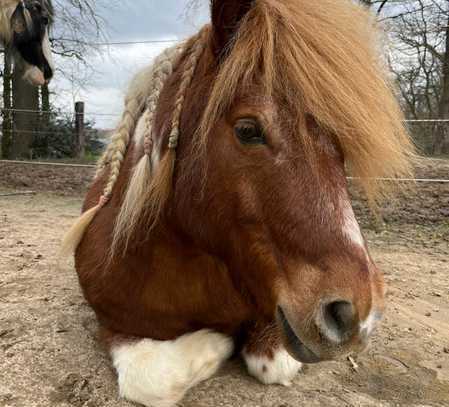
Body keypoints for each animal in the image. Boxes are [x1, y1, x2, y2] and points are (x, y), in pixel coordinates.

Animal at [62, 0, 412, 407]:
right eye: (247, 129)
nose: (354, 315)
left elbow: (272, 362)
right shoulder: (113, 323)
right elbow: (152, 379)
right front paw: (215, 343)